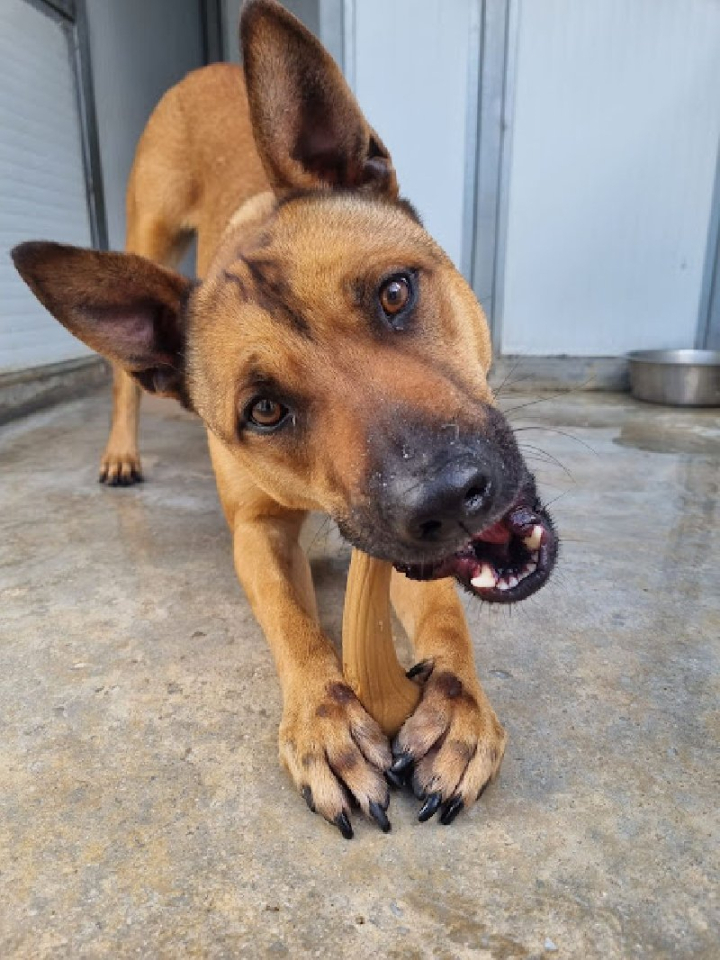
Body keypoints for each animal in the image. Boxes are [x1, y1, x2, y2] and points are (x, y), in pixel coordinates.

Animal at [12, 0, 558, 838]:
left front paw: (460, 707)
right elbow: (292, 624)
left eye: (395, 294)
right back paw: (121, 454)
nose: (444, 498)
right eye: (264, 410)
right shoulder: (257, 534)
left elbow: (446, 616)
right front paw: (324, 722)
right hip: (146, 233)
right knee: (122, 381)